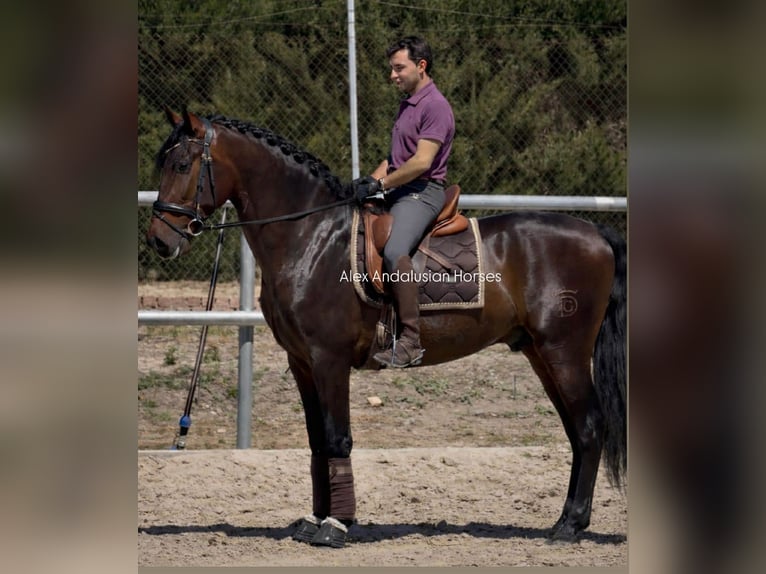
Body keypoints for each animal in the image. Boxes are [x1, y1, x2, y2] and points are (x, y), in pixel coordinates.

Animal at [146, 109, 626, 548]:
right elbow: (317, 441)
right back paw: (567, 520)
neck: (311, 236)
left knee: (588, 426)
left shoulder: (329, 360)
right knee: (577, 431)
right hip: (540, 353)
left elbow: (337, 438)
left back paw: (569, 526)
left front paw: (337, 525)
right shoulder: (301, 362)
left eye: (182, 164)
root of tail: (596, 233)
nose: (159, 241)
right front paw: (315, 519)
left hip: (563, 352)